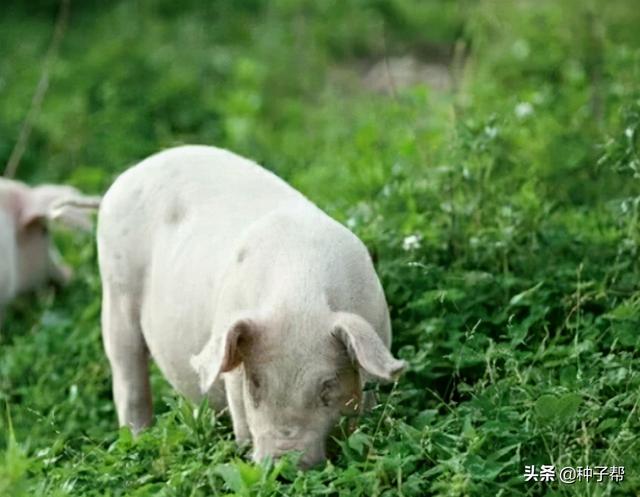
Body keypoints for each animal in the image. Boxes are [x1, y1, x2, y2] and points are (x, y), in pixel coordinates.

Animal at [97, 145, 402, 466]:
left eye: (327, 384)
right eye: (255, 382)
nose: (283, 460)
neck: (298, 297)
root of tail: (132, 173)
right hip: (115, 293)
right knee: (128, 380)